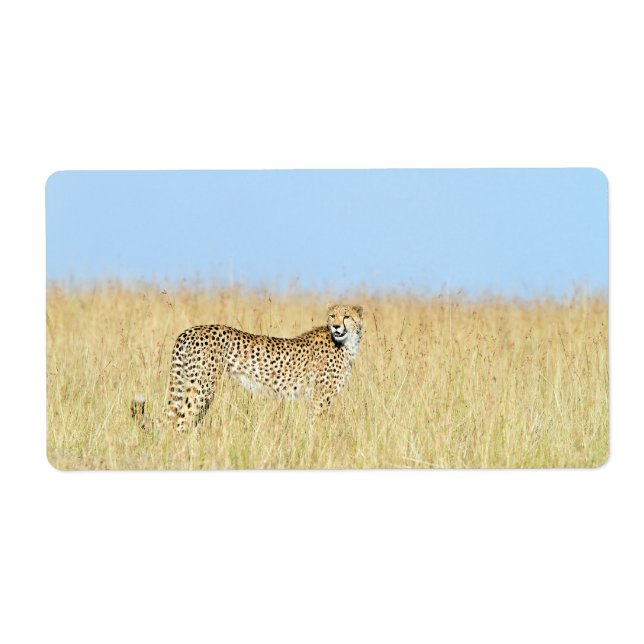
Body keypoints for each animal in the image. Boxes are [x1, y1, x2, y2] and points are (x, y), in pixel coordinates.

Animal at [131, 304, 364, 431]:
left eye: (347, 316)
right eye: (333, 316)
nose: (336, 326)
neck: (346, 343)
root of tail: (188, 331)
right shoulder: (320, 397)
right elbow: (317, 425)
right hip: (201, 387)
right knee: (181, 421)